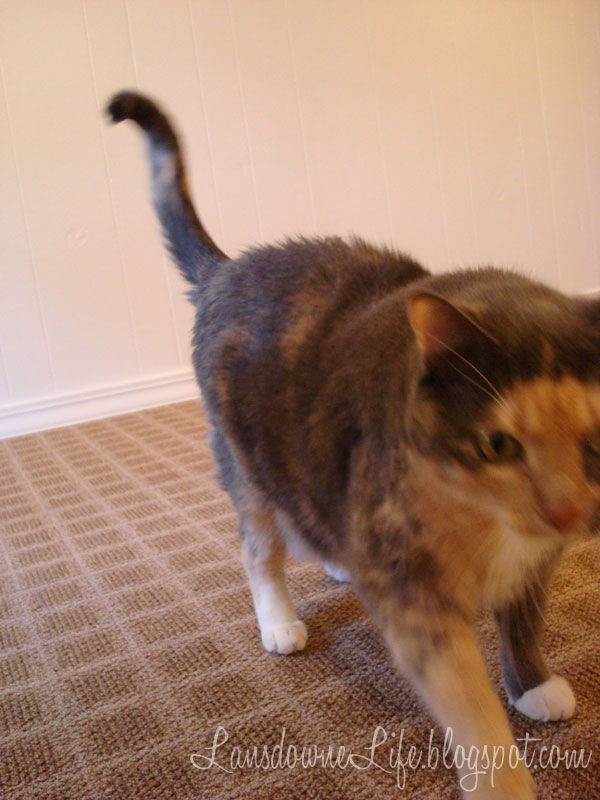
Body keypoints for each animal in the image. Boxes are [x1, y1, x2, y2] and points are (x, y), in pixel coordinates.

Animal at [108, 90, 600, 796]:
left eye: (595, 440)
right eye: (498, 445)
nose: (566, 513)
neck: (489, 526)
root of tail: (230, 267)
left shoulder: (536, 563)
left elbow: (524, 622)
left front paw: (532, 684)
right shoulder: (416, 603)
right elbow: (473, 712)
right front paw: (502, 778)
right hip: (249, 467)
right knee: (259, 548)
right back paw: (279, 620)